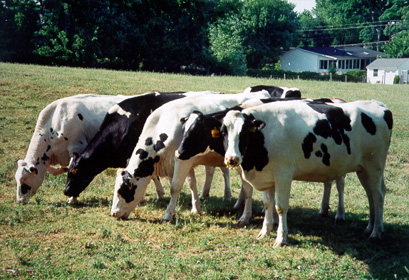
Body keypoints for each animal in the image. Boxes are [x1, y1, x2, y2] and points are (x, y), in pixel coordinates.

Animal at [62, 91, 228, 202]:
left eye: (76, 171)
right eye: (68, 171)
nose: (66, 191)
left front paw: (156, 195)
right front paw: (160, 194)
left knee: (222, 170)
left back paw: (225, 196)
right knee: (212, 169)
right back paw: (205, 194)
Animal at [110, 91, 272, 220]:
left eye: (122, 190)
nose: (113, 213)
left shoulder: (182, 161)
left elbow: (175, 187)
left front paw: (168, 215)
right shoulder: (185, 160)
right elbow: (192, 184)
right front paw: (196, 208)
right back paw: (239, 204)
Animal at [176, 97, 348, 224]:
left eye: (197, 131)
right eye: (184, 130)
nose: (179, 152)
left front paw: (249, 216)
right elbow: (248, 190)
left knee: (340, 184)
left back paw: (340, 214)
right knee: (328, 182)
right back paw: (323, 209)